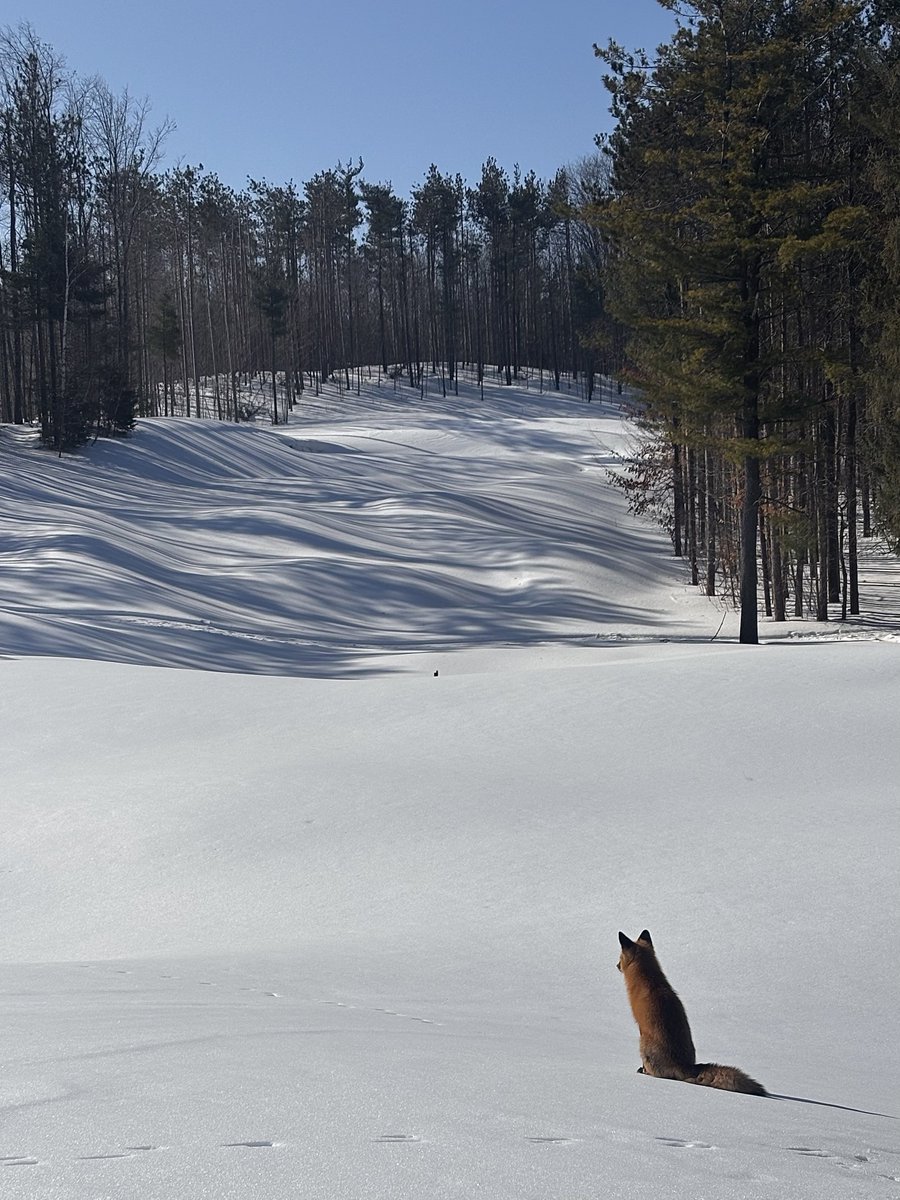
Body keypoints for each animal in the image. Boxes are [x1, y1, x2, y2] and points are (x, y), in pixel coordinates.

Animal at [617, 929, 766, 1097]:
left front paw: (642, 1070)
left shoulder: (641, 1029)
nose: (616, 965)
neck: (650, 982)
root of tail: (685, 1066)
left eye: (619, 958)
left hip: (643, 1044)